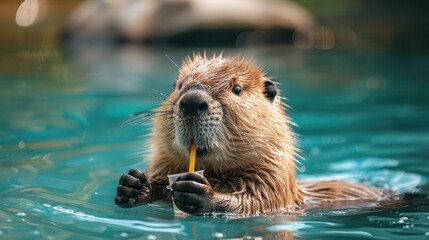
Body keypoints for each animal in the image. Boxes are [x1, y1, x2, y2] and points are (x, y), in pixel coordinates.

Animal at [113, 53, 392, 215]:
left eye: (236, 88)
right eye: (179, 84)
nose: (192, 102)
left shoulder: (274, 177)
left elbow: (258, 200)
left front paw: (199, 192)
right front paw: (134, 184)